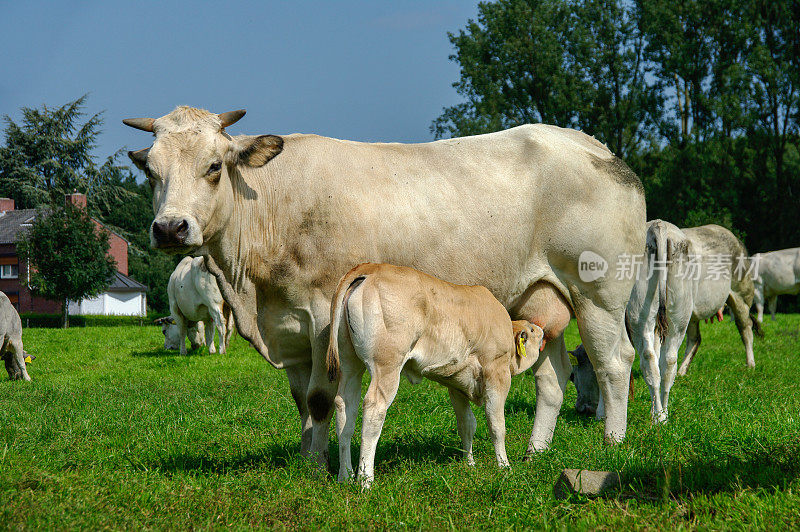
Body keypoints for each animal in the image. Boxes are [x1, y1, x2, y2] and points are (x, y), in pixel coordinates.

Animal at [125, 107, 648, 462]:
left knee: (614, 363)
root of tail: (591, 144)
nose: (170, 228)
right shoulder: (290, 330)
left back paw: (614, 442)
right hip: (544, 297)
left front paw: (318, 468)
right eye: (149, 171)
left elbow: (320, 400)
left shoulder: (322, 316)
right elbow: (301, 401)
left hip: (598, 293)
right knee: (553, 379)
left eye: (214, 166)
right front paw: (307, 460)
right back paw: (535, 451)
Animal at [324, 262, 544, 486]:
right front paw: (504, 467)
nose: (542, 329)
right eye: (532, 330)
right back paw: (366, 480)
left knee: (345, 409)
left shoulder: (457, 386)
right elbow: (496, 423)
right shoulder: (496, 372)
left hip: (350, 365)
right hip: (386, 365)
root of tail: (370, 267)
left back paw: (345, 476)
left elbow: (467, 424)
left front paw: (469, 465)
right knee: (374, 409)